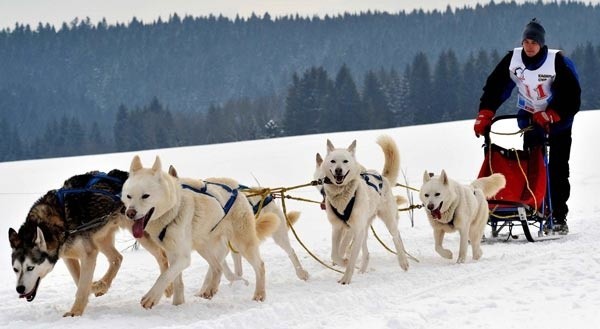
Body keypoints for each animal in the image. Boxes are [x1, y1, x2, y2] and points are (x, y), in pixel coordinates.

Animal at [122, 154, 282, 308]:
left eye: (145, 196)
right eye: (129, 196)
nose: (129, 213)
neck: (174, 210)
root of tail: (237, 190)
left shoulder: (182, 256)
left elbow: (165, 276)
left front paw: (151, 297)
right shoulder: (172, 252)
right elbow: (176, 280)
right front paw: (178, 305)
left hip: (242, 243)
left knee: (259, 266)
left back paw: (259, 294)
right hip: (203, 246)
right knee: (217, 267)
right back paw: (210, 289)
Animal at [316, 135, 410, 284]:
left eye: (345, 161)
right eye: (333, 161)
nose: (338, 170)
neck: (343, 197)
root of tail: (380, 176)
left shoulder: (353, 229)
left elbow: (347, 252)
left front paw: (346, 278)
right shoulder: (337, 228)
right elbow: (335, 254)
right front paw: (343, 261)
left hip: (387, 220)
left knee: (396, 237)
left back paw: (403, 261)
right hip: (364, 229)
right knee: (366, 252)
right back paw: (362, 269)